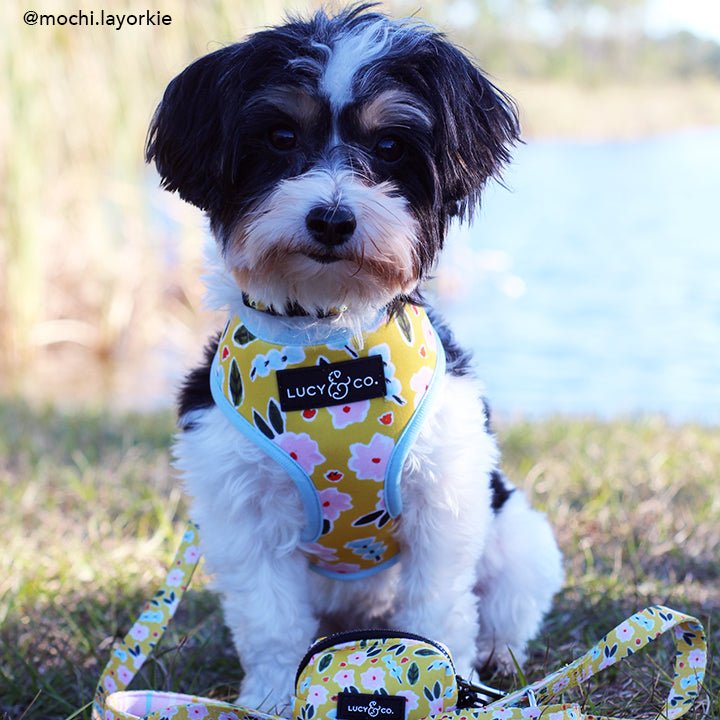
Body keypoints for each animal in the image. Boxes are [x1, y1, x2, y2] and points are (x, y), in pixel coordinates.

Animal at [146, 5, 564, 712]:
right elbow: (268, 620)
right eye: (280, 136)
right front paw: (267, 699)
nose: (332, 219)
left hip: (517, 537)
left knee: (505, 609)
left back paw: (495, 664)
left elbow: (438, 608)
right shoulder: (242, 511)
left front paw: (449, 686)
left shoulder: (445, 497)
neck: (325, 344)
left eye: (391, 146)